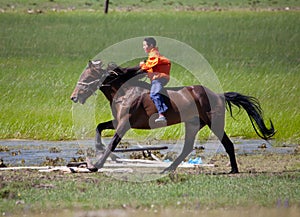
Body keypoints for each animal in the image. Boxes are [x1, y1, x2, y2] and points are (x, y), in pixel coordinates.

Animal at [70, 60, 274, 174]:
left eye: (87, 77)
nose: (73, 97)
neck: (125, 92)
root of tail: (218, 94)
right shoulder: (117, 122)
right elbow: (99, 127)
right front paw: (102, 153)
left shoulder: (124, 124)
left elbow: (112, 143)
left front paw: (96, 165)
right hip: (193, 124)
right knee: (188, 147)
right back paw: (168, 168)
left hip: (213, 123)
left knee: (228, 144)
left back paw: (233, 169)